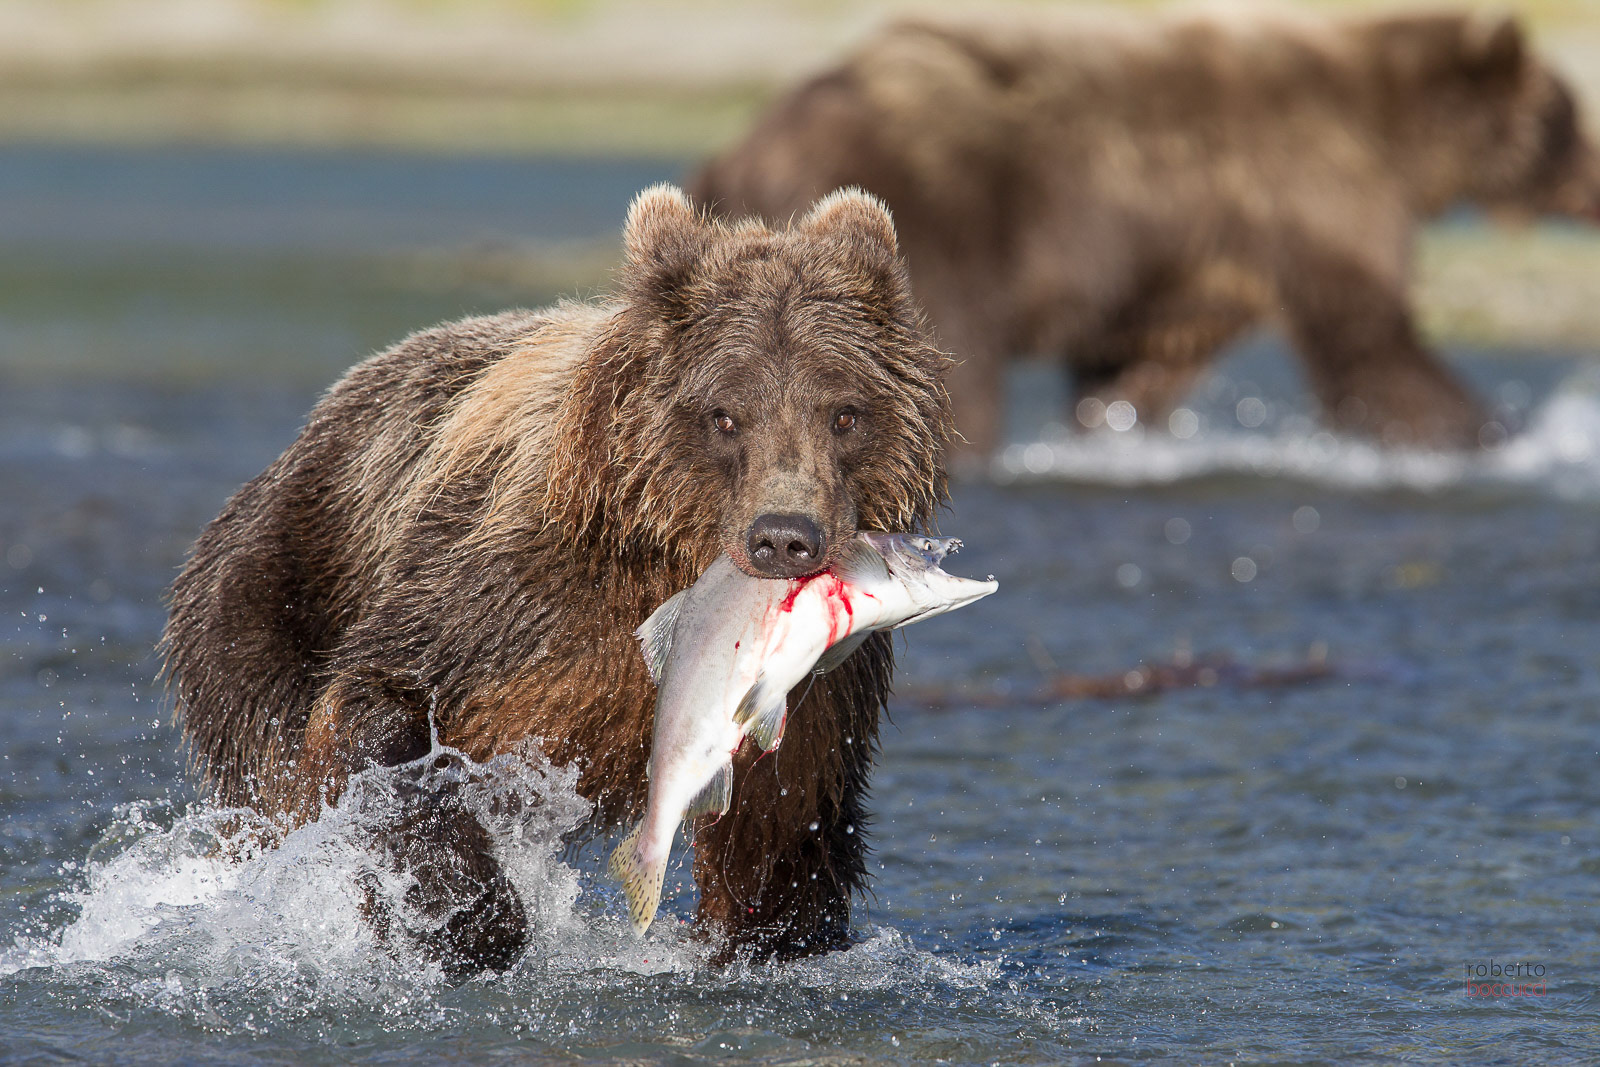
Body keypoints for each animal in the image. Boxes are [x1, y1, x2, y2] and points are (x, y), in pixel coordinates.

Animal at [161, 184, 955, 975]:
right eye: (725, 414)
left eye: (844, 412)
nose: (785, 535)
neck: (671, 562)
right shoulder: (510, 596)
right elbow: (378, 702)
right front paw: (475, 916)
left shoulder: (818, 689)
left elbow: (782, 822)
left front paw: (773, 933)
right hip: (269, 590)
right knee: (275, 765)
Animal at [691, 9, 1600, 457]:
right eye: (1568, 112)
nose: (1594, 177)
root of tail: (744, 148)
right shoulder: (1312, 185)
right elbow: (1371, 339)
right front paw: (1494, 432)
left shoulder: (1196, 258)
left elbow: (1143, 362)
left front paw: (1114, 421)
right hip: (933, 217)